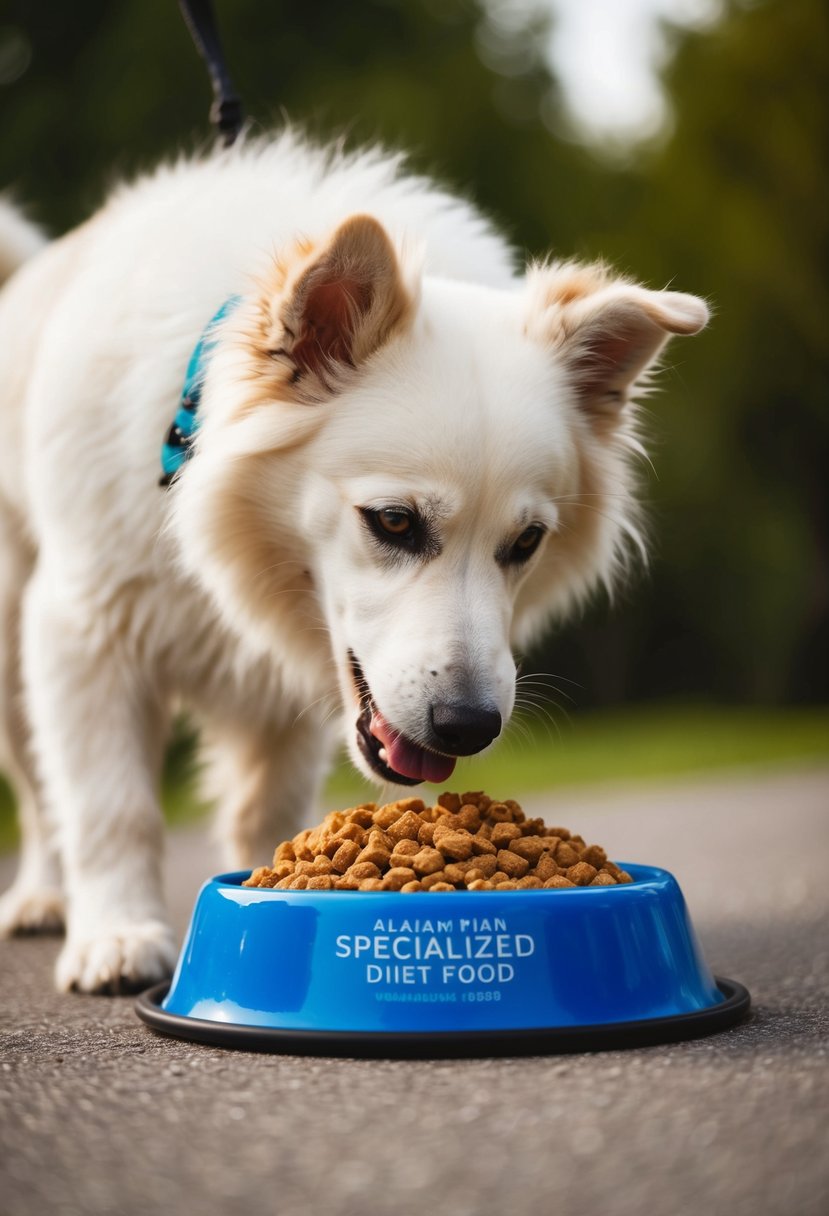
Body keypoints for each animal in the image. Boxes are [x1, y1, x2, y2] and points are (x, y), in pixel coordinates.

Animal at [0, 133, 705, 992]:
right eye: (394, 521)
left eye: (525, 544)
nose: (468, 728)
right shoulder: (85, 632)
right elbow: (111, 807)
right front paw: (119, 935)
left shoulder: (292, 686)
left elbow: (266, 809)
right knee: (40, 798)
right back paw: (42, 899)